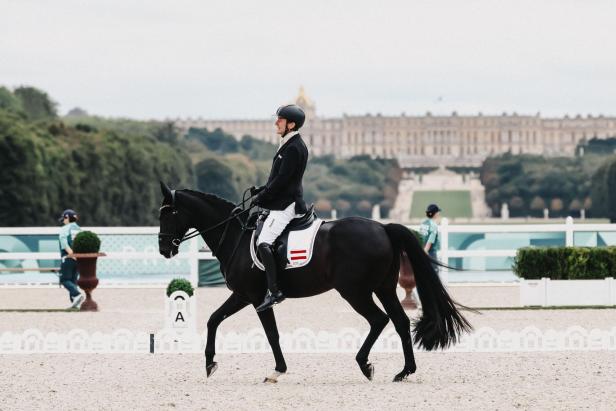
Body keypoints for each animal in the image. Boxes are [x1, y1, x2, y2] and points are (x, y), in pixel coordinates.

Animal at [159, 183, 472, 384]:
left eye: (168, 213)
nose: (164, 249)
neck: (236, 234)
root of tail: (383, 227)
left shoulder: (253, 296)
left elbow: (270, 334)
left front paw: (276, 370)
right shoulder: (243, 295)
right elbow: (214, 319)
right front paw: (210, 363)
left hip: (355, 291)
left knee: (379, 319)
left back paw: (365, 364)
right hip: (382, 288)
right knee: (399, 321)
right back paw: (404, 371)